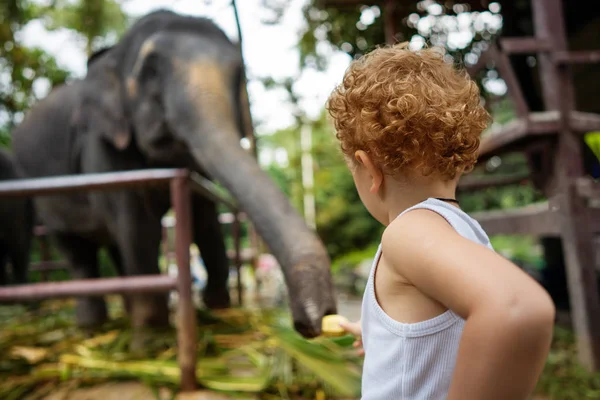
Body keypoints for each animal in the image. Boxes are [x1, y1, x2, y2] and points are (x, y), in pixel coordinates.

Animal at [11, 10, 338, 346]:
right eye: (151, 71)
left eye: (238, 75)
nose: (314, 323)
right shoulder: (101, 146)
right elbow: (139, 226)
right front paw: (152, 342)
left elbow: (202, 213)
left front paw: (218, 309)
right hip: (44, 198)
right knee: (78, 252)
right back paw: (94, 328)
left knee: (115, 246)